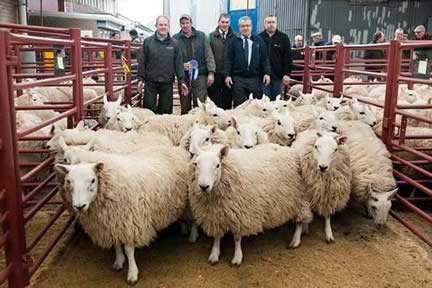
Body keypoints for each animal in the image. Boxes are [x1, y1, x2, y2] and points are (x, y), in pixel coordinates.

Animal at [53, 145, 189, 284]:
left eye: (92, 180)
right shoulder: (113, 222)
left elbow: (129, 250)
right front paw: (119, 261)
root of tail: (175, 148)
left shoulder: (129, 222)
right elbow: (116, 245)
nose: (79, 206)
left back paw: (184, 230)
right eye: (68, 181)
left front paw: (132, 273)